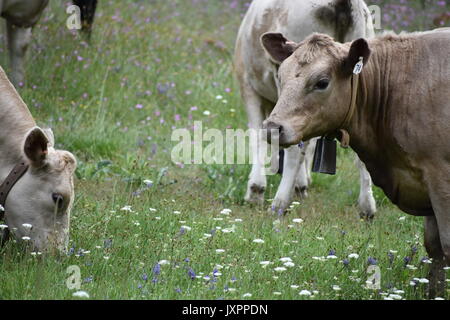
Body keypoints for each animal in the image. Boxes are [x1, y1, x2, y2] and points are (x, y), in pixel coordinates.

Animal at [234, 0, 378, 218]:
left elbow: (259, 138)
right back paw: (366, 206)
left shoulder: (249, 88)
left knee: (294, 150)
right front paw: (302, 184)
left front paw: (256, 190)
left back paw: (279, 203)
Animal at [260, 28, 450, 298]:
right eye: (281, 75)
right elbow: (434, 248)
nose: (272, 128)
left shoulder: (440, 179)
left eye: (322, 82)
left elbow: (446, 244)